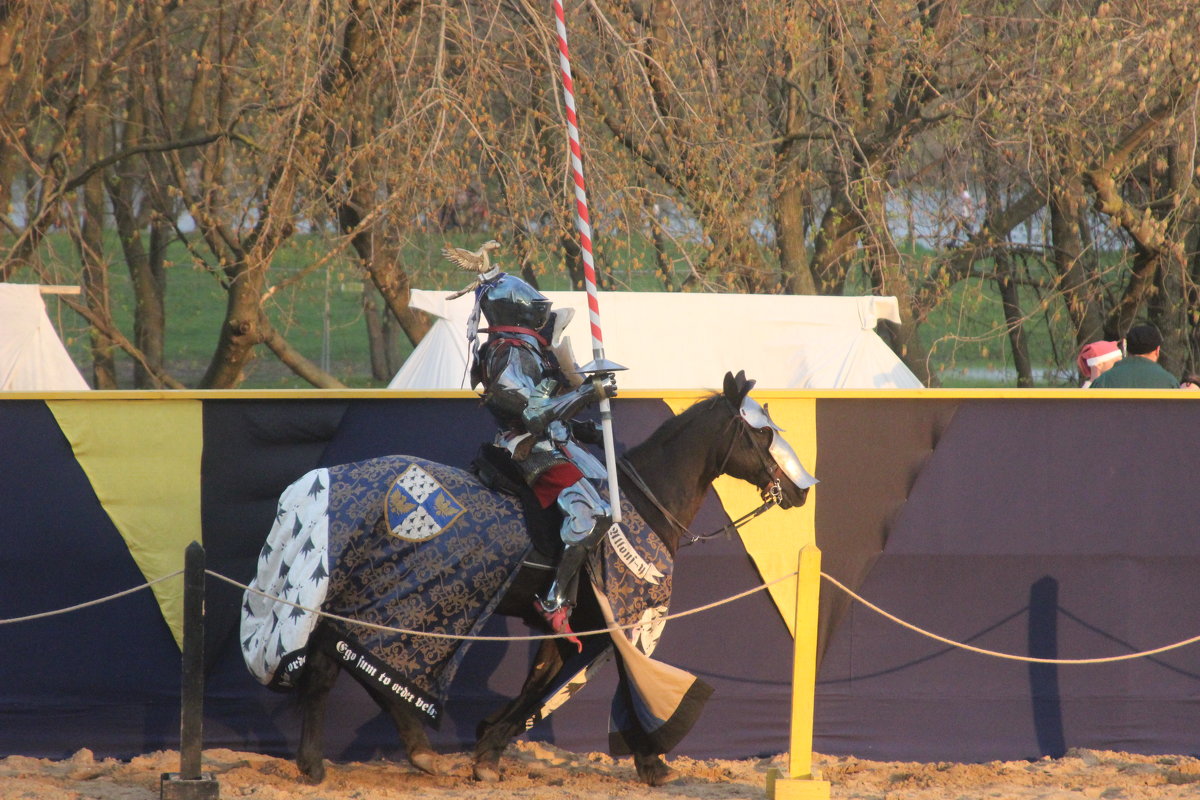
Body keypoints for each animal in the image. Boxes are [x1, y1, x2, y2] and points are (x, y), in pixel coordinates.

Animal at [237, 371, 811, 786]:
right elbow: (594, 686)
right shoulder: (613, 625)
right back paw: (318, 764)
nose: (803, 490)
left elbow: (538, 681)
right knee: (331, 670)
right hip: (392, 603)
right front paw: (651, 763)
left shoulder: (567, 626)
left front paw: (487, 745)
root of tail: (321, 484)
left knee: (359, 668)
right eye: (763, 432)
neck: (640, 505)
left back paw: (418, 753)